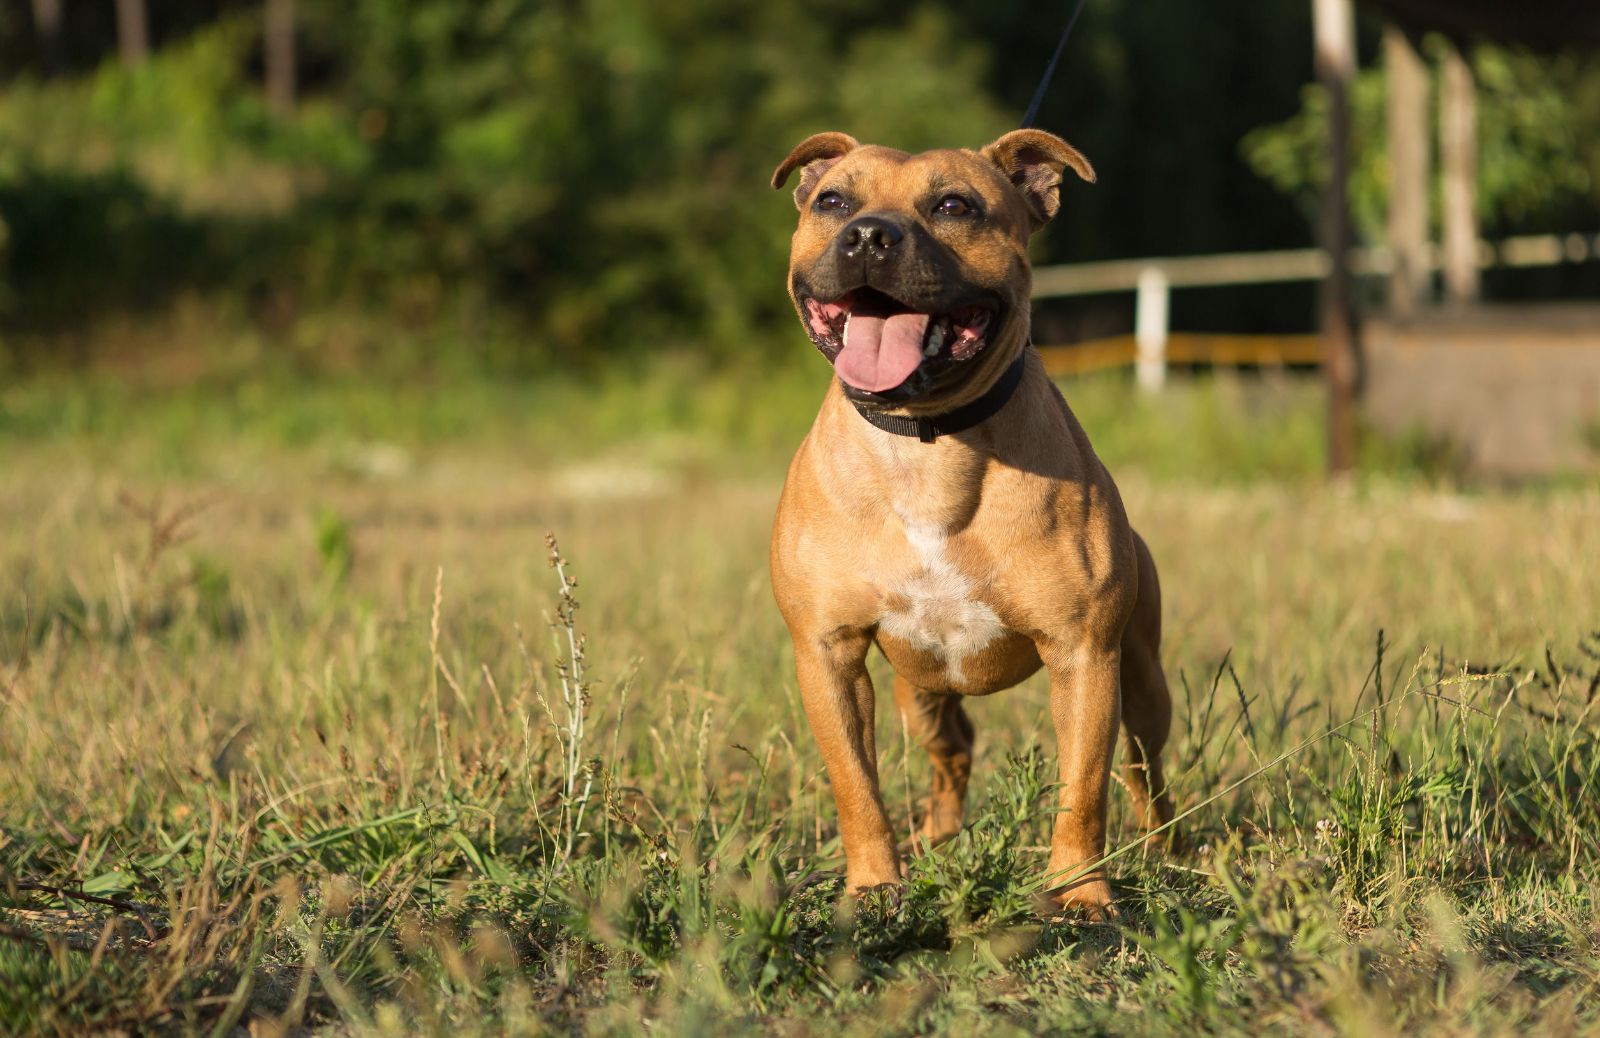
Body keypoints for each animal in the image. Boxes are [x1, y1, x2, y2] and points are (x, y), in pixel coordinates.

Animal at [768, 129, 1171, 914]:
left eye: (955, 207)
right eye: (833, 201)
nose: (869, 235)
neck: (926, 442)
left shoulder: (1085, 656)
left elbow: (1083, 789)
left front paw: (1080, 894)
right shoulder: (828, 654)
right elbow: (856, 787)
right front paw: (875, 886)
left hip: (1143, 677)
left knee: (1146, 769)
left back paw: (1166, 848)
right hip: (918, 688)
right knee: (952, 749)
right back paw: (938, 839)